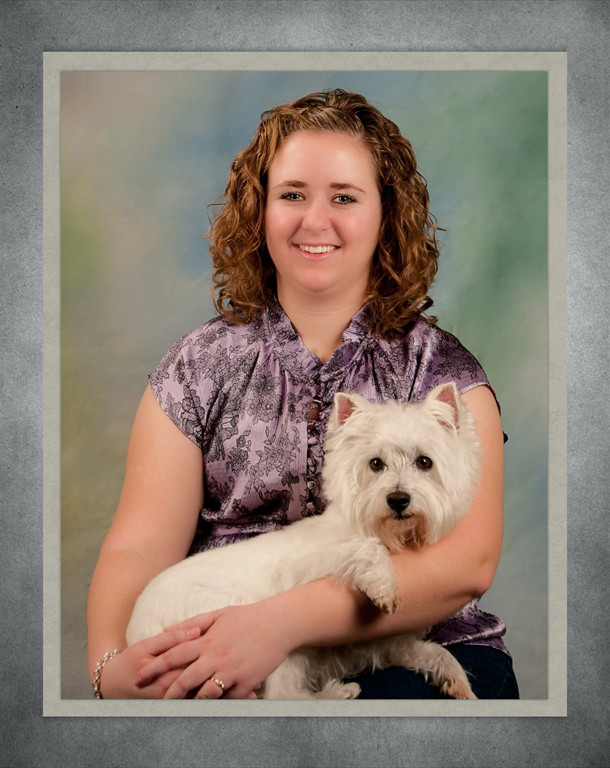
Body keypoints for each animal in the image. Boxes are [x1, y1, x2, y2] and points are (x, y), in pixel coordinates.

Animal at [126, 381, 481, 699]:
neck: (390, 535)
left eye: (425, 462)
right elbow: (363, 550)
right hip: (252, 627)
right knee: (281, 695)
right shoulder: (302, 573)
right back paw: (337, 694)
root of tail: (134, 639)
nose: (397, 499)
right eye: (375, 464)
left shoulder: (385, 643)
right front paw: (384, 586)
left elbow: (434, 652)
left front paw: (458, 682)